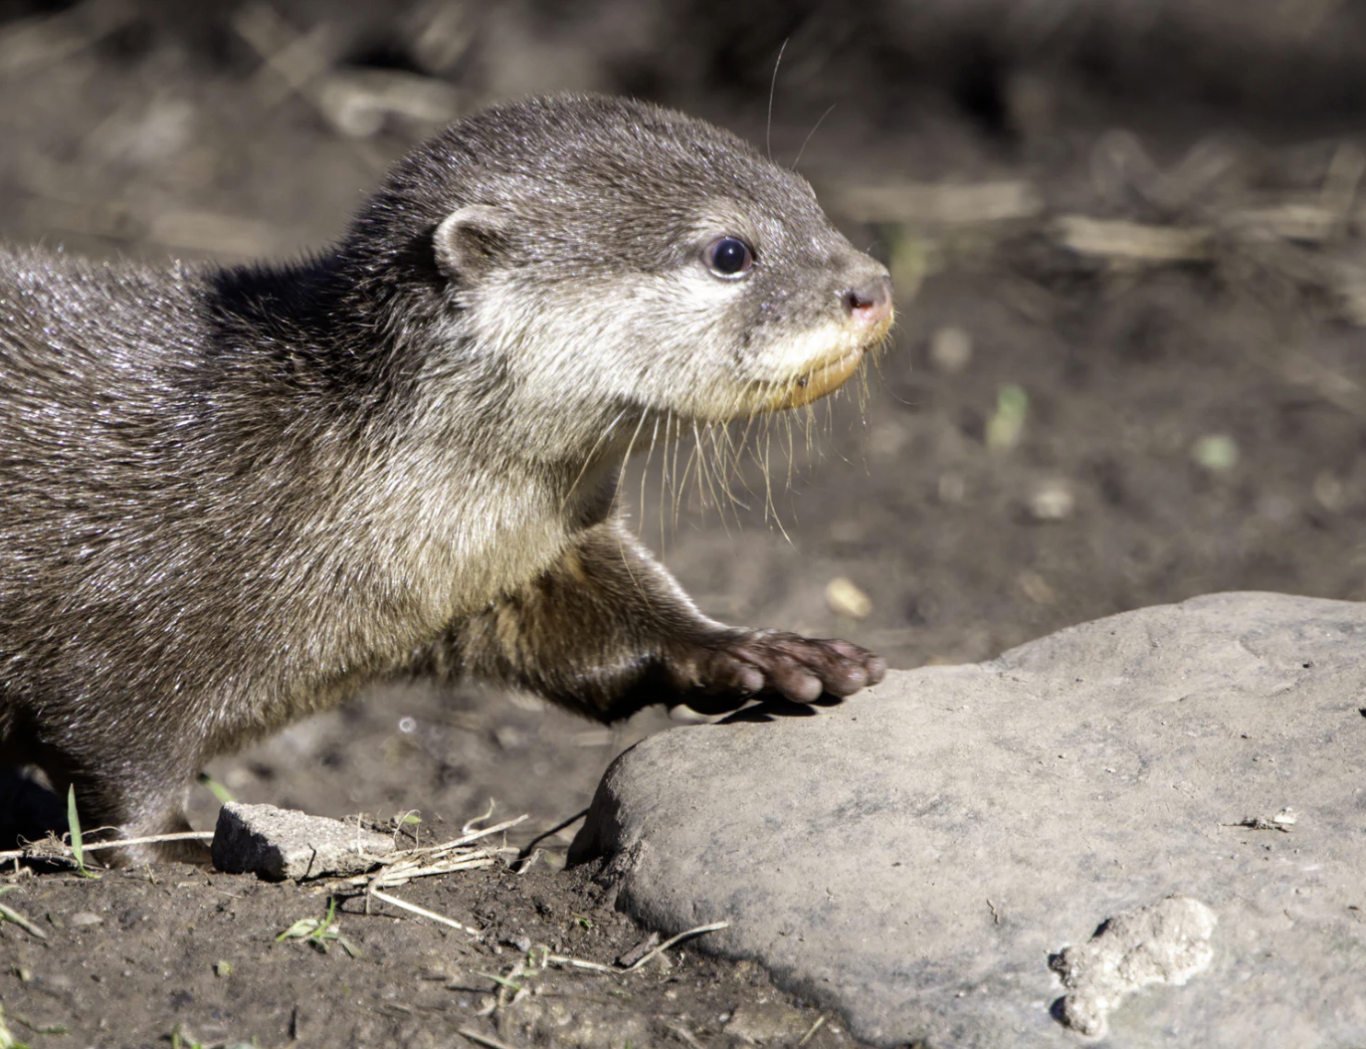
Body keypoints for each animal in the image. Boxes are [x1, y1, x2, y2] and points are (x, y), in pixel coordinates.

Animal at [0, 94, 892, 865]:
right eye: (729, 253)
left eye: (809, 197)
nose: (872, 286)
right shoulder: (120, 623)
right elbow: (120, 766)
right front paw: (186, 850)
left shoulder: (521, 563)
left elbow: (606, 628)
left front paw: (761, 650)